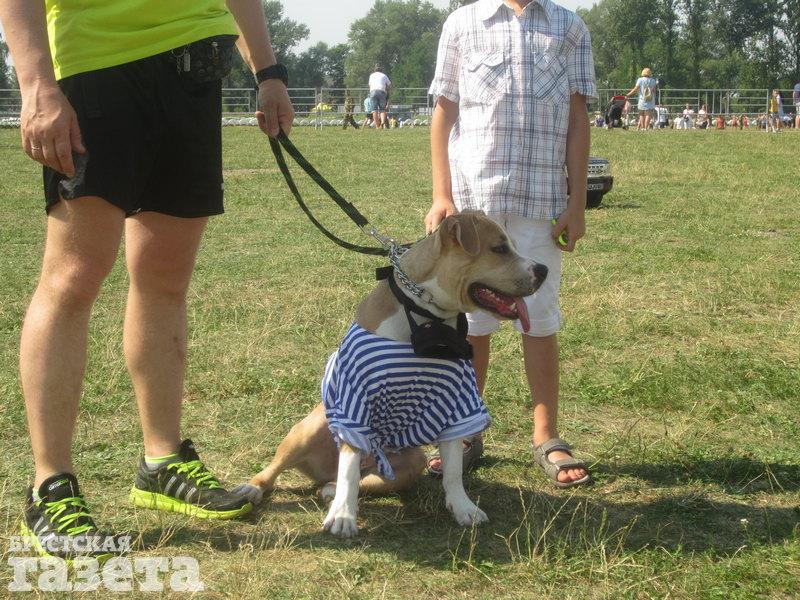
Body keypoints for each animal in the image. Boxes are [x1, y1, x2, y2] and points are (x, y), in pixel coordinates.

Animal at [233, 212, 547, 537]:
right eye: (499, 249)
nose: (543, 270)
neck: (424, 316)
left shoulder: (456, 406)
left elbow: (453, 471)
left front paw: (463, 508)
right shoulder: (355, 402)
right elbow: (349, 471)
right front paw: (343, 517)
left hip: (411, 462)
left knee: (356, 481)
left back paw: (330, 490)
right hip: (308, 428)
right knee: (286, 470)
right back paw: (254, 489)